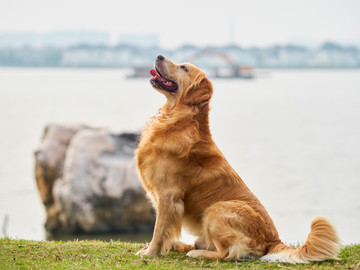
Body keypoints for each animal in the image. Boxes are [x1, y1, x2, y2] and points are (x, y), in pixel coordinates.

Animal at [136, 55, 340, 264]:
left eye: (183, 68)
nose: (159, 56)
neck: (176, 119)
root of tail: (272, 240)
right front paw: (155, 248)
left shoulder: (168, 195)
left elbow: (159, 230)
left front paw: (150, 253)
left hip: (216, 209)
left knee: (226, 253)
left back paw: (197, 253)